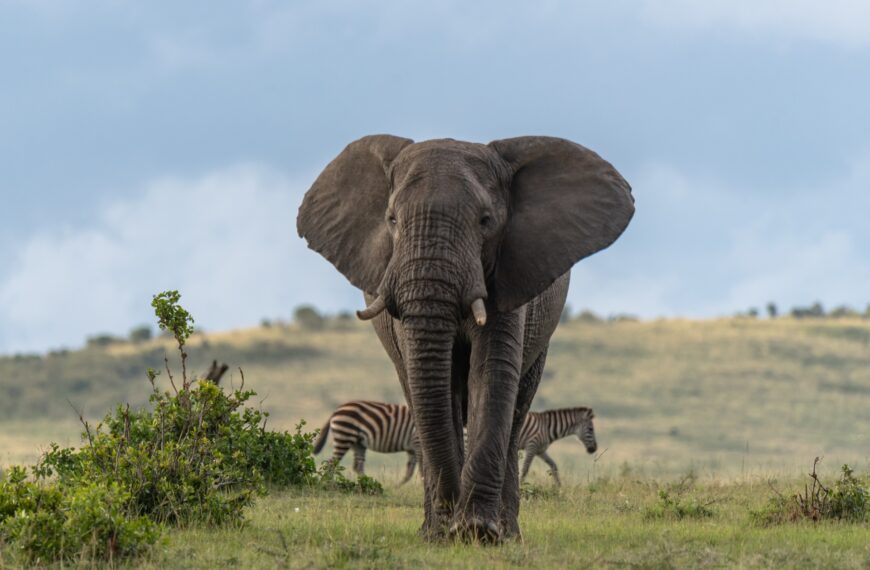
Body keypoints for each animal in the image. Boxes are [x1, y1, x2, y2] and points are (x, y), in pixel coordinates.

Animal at [297, 135, 633, 542]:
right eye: (391, 220)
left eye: (485, 221)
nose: (452, 516)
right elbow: (433, 384)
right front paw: (444, 531)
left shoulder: (510, 273)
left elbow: (490, 373)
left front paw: (477, 531)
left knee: (515, 408)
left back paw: (507, 532)